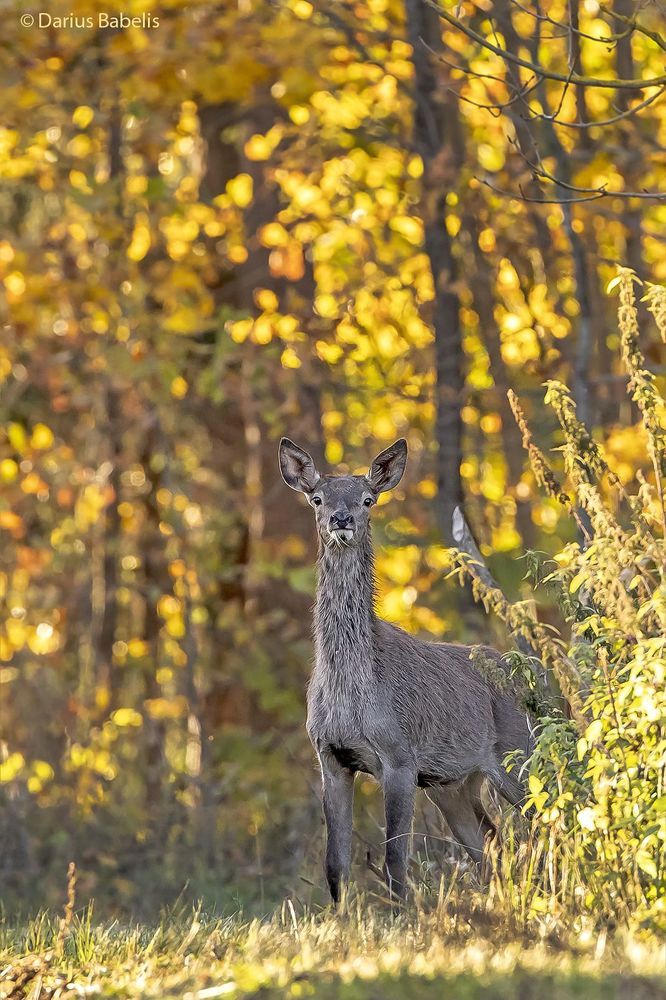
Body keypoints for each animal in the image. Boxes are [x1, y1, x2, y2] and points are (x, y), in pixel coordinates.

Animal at [278, 436, 533, 902]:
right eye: (317, 498)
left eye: (368, 499)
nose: (341, 519)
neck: (351, 690)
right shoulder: (330, 756)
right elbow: (335, 866)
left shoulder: (399, 756)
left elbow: (395, 861)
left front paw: (403, 915)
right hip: (455, 784)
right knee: (491, 841)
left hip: (518, 752)